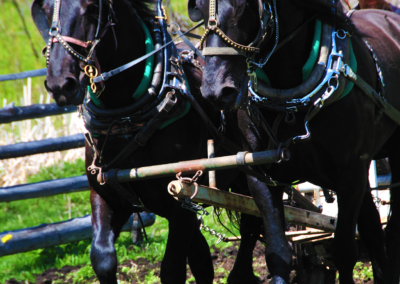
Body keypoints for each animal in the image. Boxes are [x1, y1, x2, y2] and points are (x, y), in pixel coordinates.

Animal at [31, 0, 266, 282]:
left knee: (252, 224)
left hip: (246, 173)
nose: (60, 84)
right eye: (45, 10)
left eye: (91, 8)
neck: (125, 120)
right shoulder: (106, 194)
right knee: (202, 256)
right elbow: (102, 259)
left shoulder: (183, 197)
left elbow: (172, 268)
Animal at [189, 0, 400, 282]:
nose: (215, 90)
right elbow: (277, 253)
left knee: (390, 232)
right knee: (373, 230)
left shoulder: (351, 174)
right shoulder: (262, 178)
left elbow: (344, 251)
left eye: (244, 5)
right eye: (199, 8)